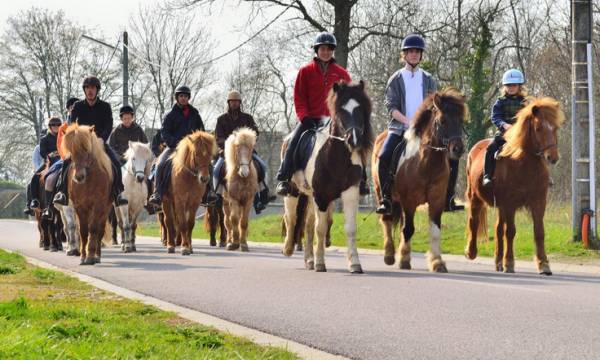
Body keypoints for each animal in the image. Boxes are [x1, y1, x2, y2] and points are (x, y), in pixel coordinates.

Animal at [61, 124, 115, 264]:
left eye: (86, 149)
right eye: (71, 151)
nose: (79, 177)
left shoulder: (98, 205)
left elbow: (94, 229)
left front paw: (90, 256)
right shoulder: (80, 207)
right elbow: (83, 231)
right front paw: (82, 256)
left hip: (105, 209)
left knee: (100, 230)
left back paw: (97, 256)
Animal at [282, 81, 376, 272]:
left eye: (360, 109)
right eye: (340, 111)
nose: (354, 140)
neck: (336, 156)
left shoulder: (350, 192)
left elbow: (350, 228)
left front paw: (355, 263)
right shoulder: (321, 196)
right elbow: (321, 228)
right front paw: (320, 263)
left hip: (310, 197)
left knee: (308, 225)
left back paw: (309, 260)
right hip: (293, 192)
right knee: (291, 218)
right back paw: (288, 249)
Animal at [372, 88, 466, 272]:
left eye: (460, 120)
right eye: (442, 121)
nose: (457, 149)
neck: (426, 163)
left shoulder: (436, 201)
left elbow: (435, 231)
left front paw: (437, 262)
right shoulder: (409, 201)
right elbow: (408, 229)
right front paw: (404, 260)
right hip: (382, 194)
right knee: (387, 220)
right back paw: (389, 255)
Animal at [464, 97, 564, 274]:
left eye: (555, 128)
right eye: (538, 128)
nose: (552, 157)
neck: (524, 164)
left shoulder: (538, 203)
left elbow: (539, 232)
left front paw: (544, 264)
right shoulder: (510, 204)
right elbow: (510, 232)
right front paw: (510, 262)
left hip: (500, 206)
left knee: (498, 229)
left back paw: (498, 262)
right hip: (476, 196)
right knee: (474, 220)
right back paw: (471, 252)